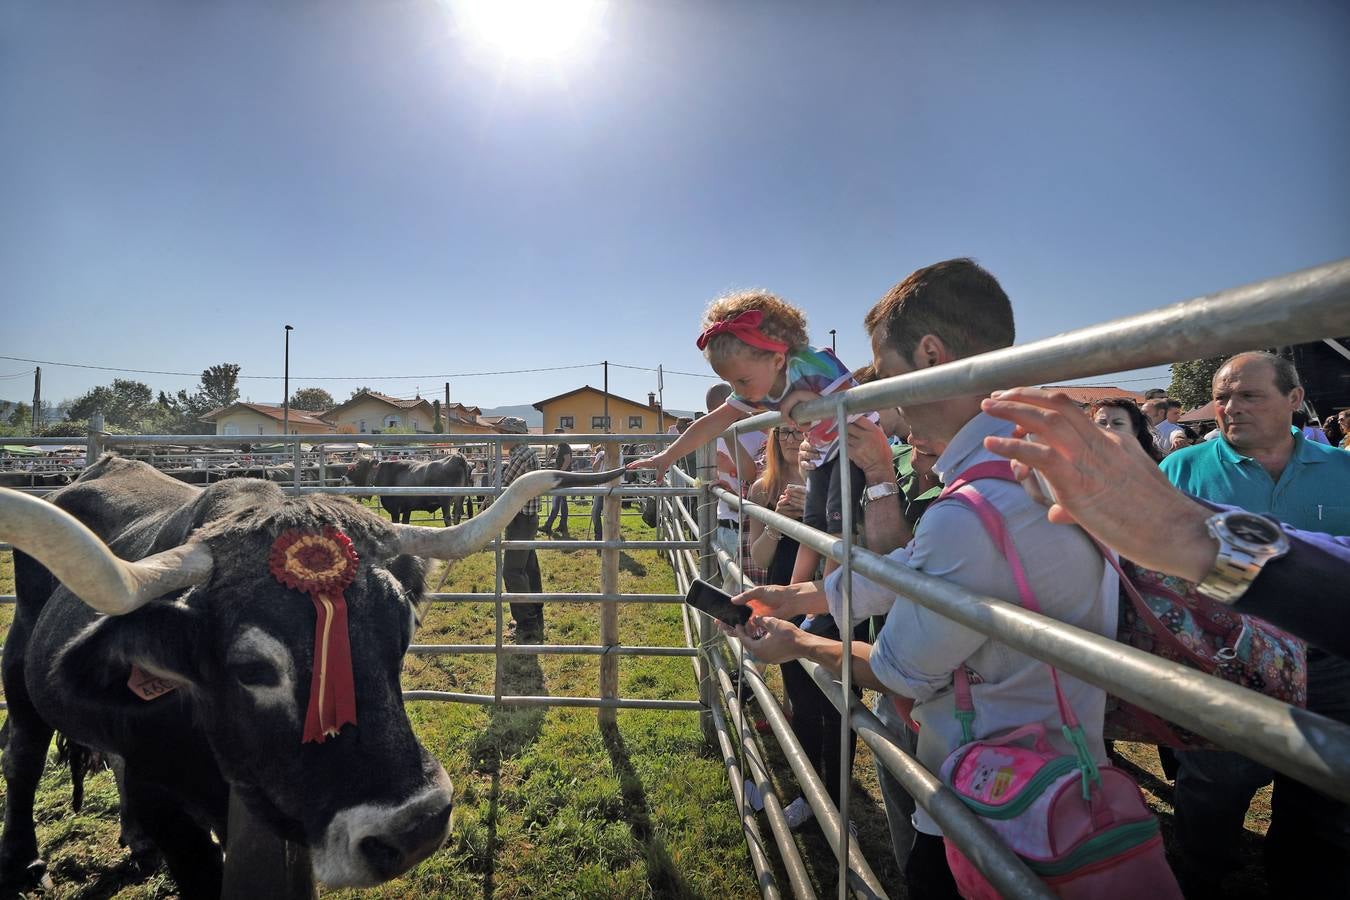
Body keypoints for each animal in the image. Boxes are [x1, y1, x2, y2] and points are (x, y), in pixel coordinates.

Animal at [342, 458, 475, 528]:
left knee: (448, 518)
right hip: (459, 499)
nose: (343, 478)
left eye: (358, 467)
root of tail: (457, 457)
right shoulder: (407, 509)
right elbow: (406, 523)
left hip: (446, 501)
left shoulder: (395, 510)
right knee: (457, 517)